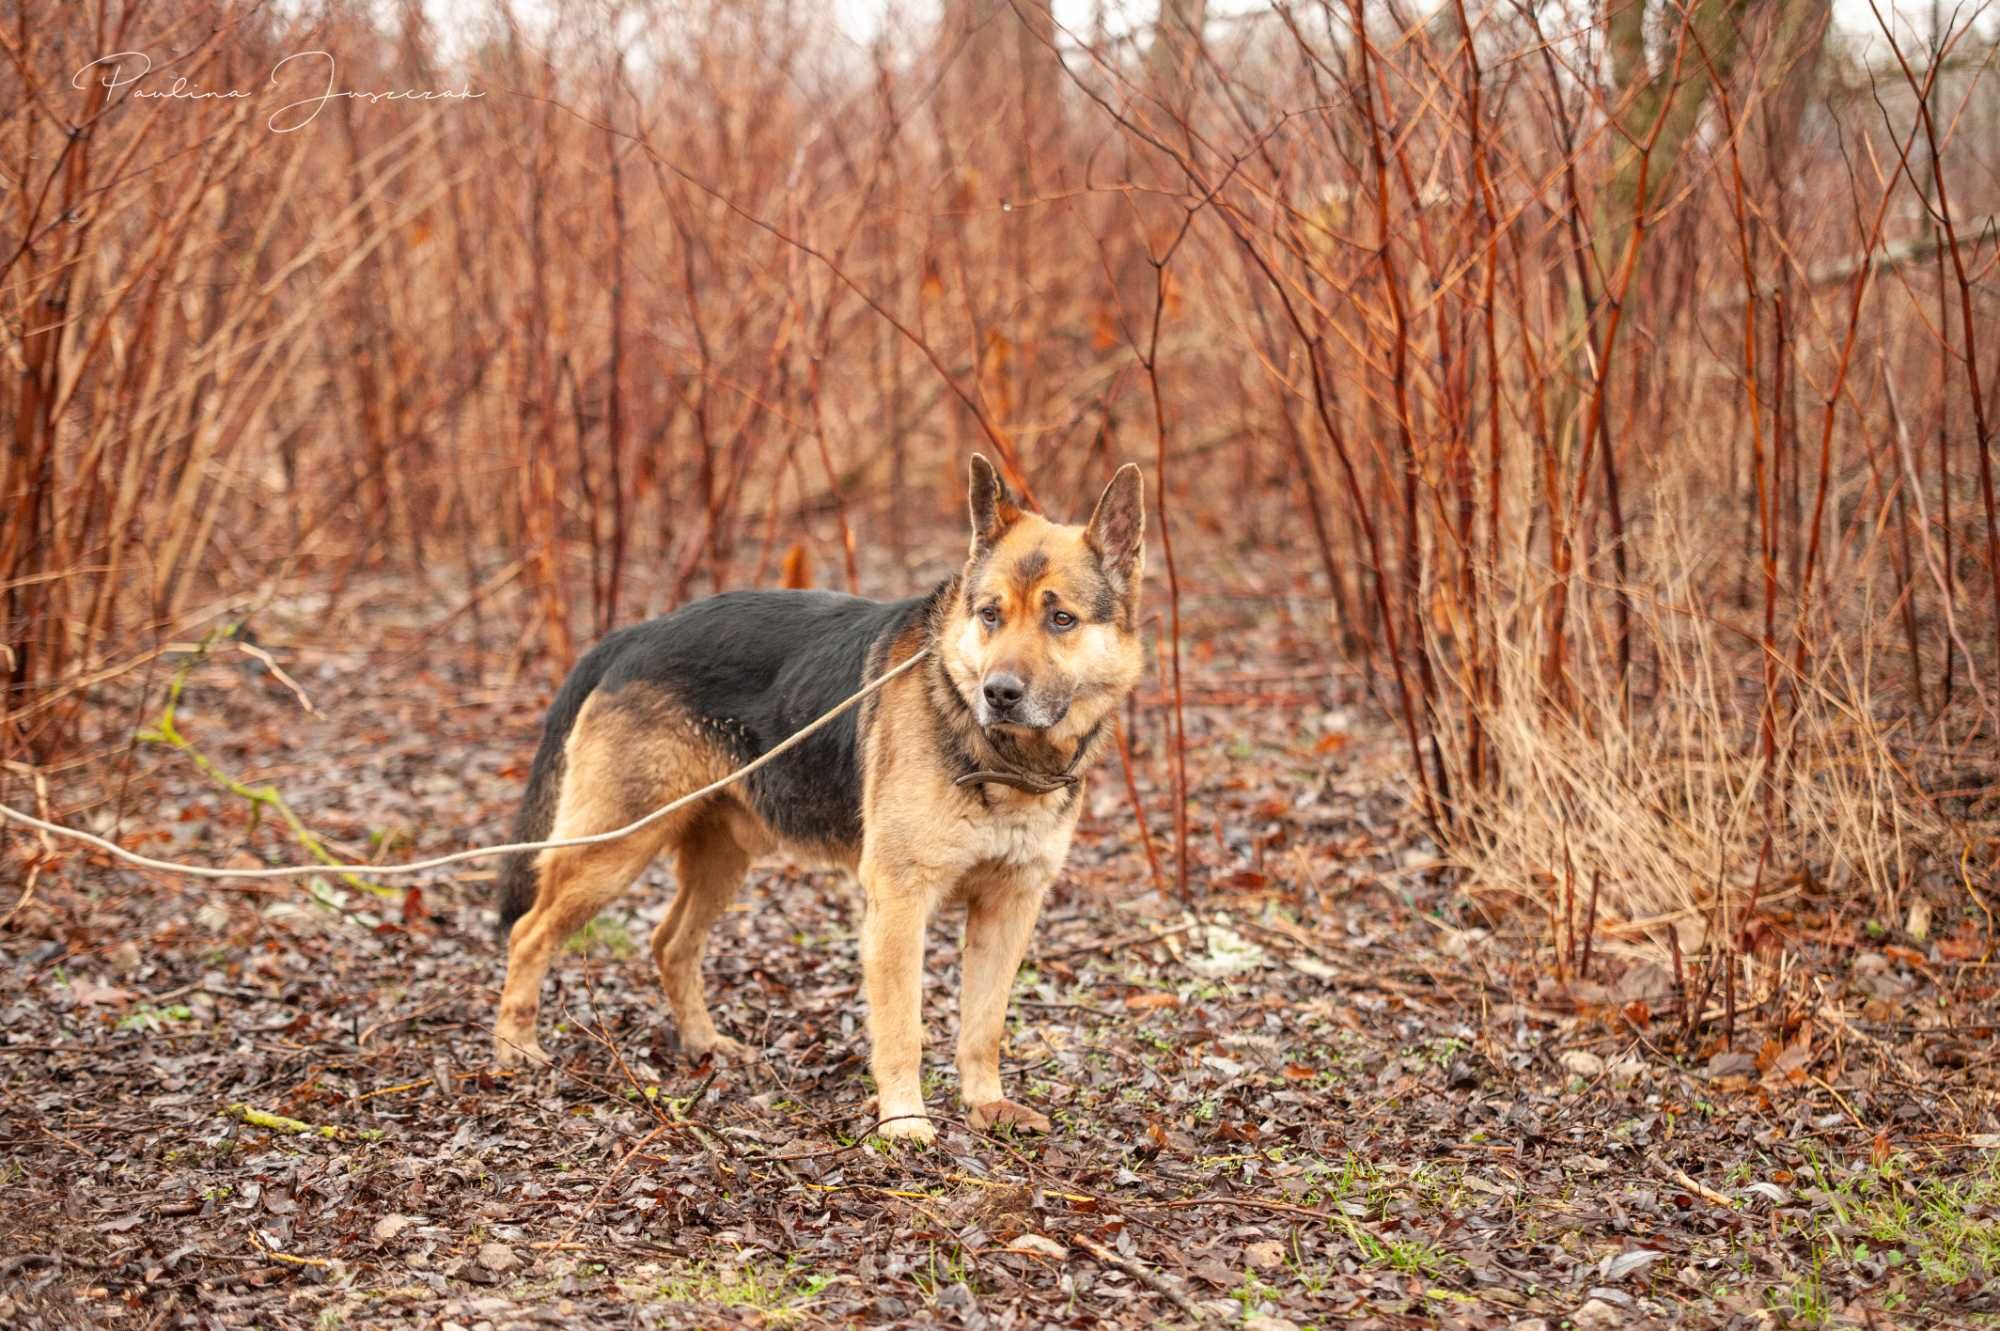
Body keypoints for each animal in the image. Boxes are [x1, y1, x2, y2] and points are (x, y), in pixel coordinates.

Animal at [494, 455, 1152, 1143]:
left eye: (1061, 620)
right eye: (990, 615)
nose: (997, 694)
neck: (1002, 760)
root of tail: (632, 633)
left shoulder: (1009, 907)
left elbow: (984, 1027)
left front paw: (986, 1105)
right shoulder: (899, 901)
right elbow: (902, 1028)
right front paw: (904, 1121)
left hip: (721, 859)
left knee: (670, 944)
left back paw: (704, 1046)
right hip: (613, 851)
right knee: (529, 933)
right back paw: (516, 1047)